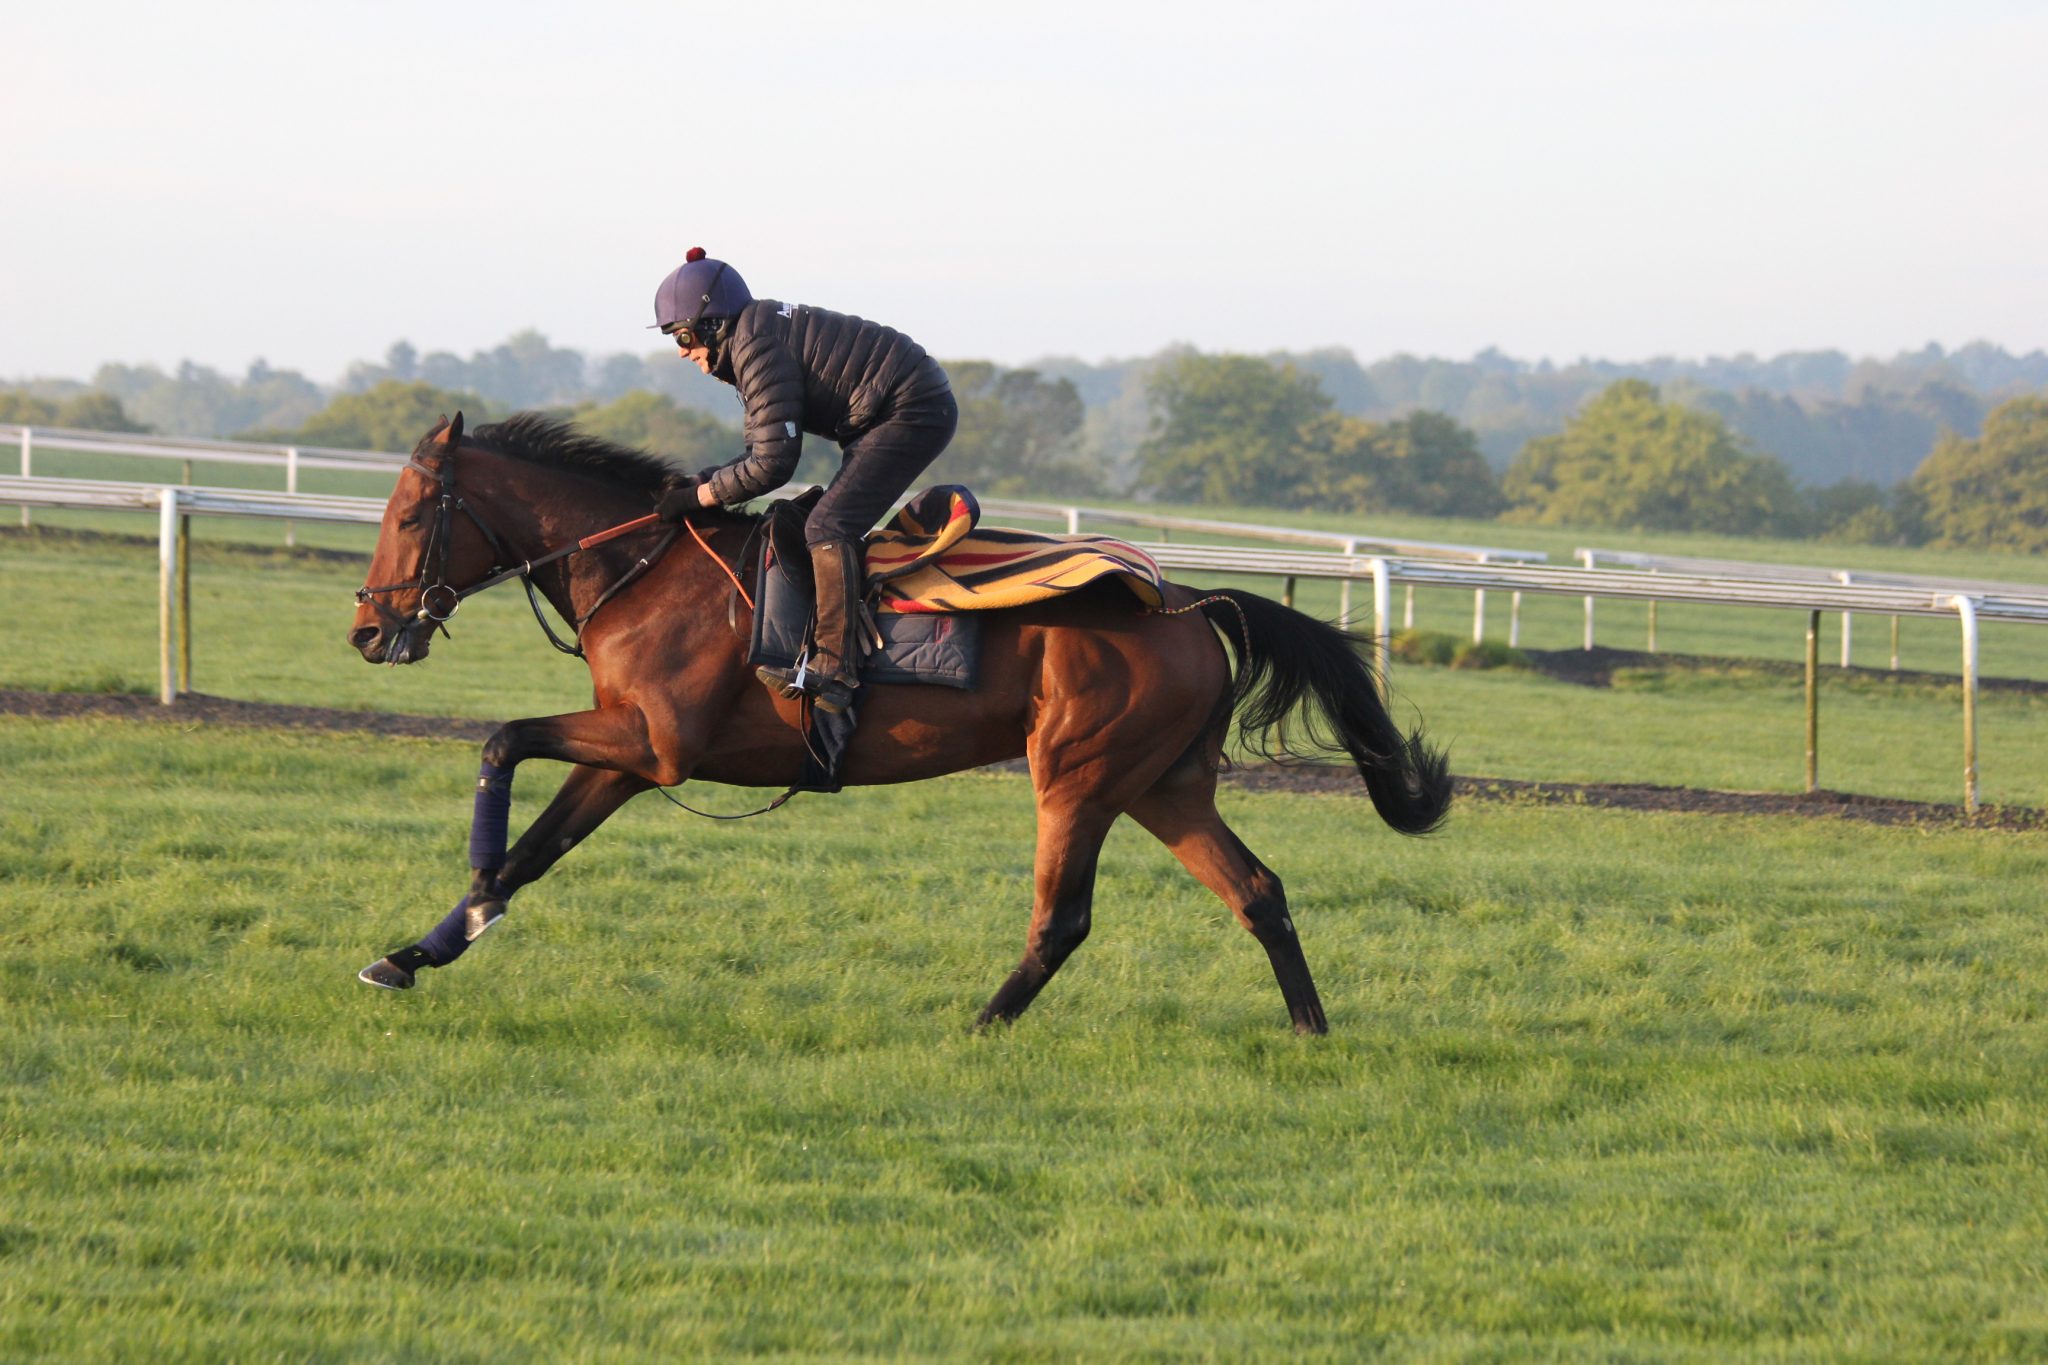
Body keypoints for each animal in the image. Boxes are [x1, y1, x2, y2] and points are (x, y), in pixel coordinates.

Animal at [346, 412, 1451, 1034]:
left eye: (406, 515)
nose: (368, 628)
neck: (642, 570)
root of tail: (1190, 602)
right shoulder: (625, 753)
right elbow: (537, 846)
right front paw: (422, 948)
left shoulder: (654, 747)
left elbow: (500, 741)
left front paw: (467, 899)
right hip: (1162, 783)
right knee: (1257, 891)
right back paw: (1310, 1032)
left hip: (1080, 773)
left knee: (1064, 916)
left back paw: (979, 1027)